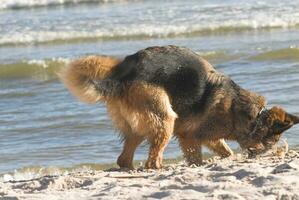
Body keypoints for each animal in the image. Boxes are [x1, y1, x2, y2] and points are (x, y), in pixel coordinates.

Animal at [59, 45, 299, 169]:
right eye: (273, 141)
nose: (277, 153)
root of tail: (121, 74)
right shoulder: (190, 136)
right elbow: (197, 157)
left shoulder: (207, 137)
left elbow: (226, 151)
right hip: (165, 119)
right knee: (152, 160)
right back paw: (158, 168)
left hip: (138, 127)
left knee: (124, 159)